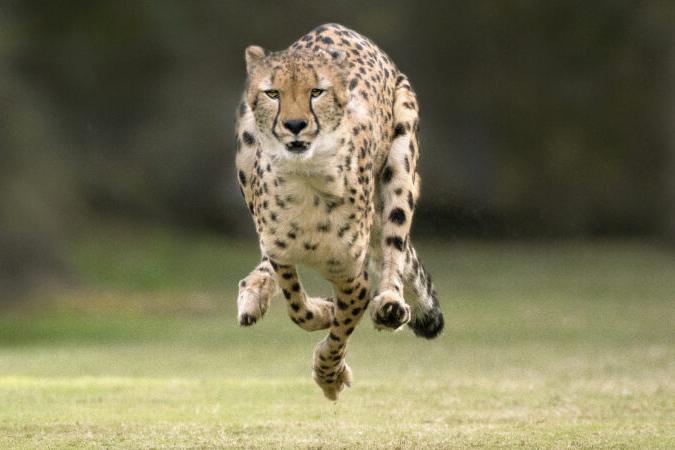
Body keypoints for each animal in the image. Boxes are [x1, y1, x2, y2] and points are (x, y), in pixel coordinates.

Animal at [233, 23, 444, 400]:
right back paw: (253, 292)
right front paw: (322, 311)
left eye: (317, 92)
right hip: (245, 151)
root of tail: (335, 27)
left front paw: (328, 374)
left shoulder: (353, 277)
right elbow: (299, 308)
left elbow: (341, 328)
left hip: (401, 158)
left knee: (394, 244)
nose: (295, 124)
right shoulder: (281, 252)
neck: (306, 179)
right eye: (273, 93)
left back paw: (390, 303)